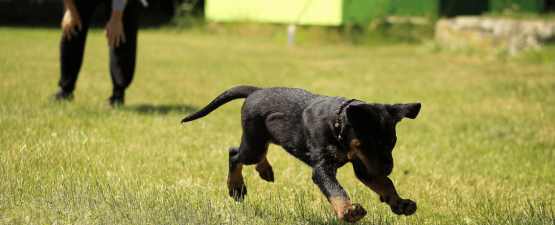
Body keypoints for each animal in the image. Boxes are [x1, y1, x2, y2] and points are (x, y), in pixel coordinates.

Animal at [182, 85, 422, 222]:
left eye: (392, 143)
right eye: (371, 143)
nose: (388, 167)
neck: (336, 124)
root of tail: (256, 90)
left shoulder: (365, 166)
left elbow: (385, 184)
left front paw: (400, 203)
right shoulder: (324, 167)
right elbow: (335, 189)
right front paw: (347, 210)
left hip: (266, 138)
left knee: (259, 152)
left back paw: (264, 170)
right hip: (253, 144)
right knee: (234, 153)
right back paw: (236, 187)